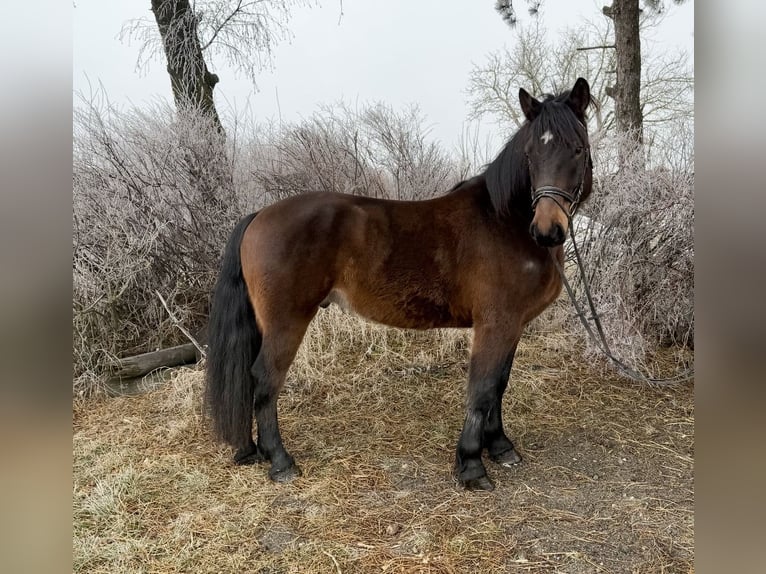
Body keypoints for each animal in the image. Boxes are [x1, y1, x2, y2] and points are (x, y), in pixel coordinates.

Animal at [205, 78, 594, 491]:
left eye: (577, 148)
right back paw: (280, 462)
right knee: (265, 380)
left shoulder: (511, 326)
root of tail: (260, 214)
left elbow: (499, 385)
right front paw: (472, 465)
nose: (548, 230)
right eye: (531, 153)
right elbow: (483, 388)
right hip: (286, 323)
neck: (504, 220)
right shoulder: (496, 324)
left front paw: (500, 447)